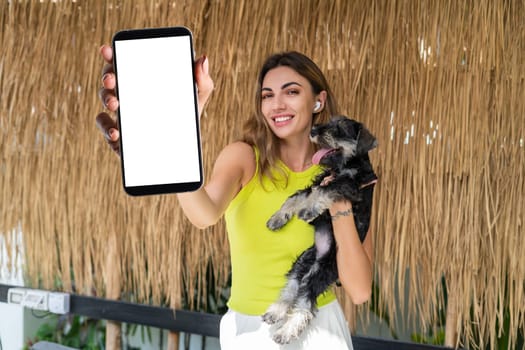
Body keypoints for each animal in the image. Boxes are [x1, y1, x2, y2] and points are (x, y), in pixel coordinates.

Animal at [262, 115, 376, 344]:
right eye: (330, 121)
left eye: (340, 128)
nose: (313, 130)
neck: (346, 164)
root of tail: (320, 256)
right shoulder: (319, 180)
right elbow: (297, 197)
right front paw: (277, 219)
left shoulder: (349, 185)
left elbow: (325, 191)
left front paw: (308, 210)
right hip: (303, 262)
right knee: (292, 288)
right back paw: (276, 312)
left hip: (323, 271)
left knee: (305, 303)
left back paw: (285, 331)